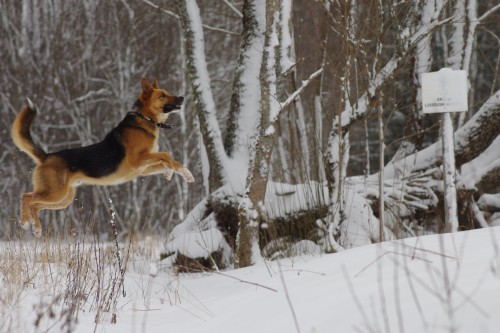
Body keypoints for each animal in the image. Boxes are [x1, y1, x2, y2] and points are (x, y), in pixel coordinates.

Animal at [11, 77, 195, 236]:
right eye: (162, 95)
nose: (181, 97)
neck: (145, 119)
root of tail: (46, 156)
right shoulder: (137, 160)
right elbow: (166, 156)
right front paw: (169, 172)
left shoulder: (143, 168)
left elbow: (174, 162)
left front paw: (186, 174)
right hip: (55, 192)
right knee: (26, 197)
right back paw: (25, 221)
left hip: (63, 198)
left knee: (35, 206)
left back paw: (36, 228)